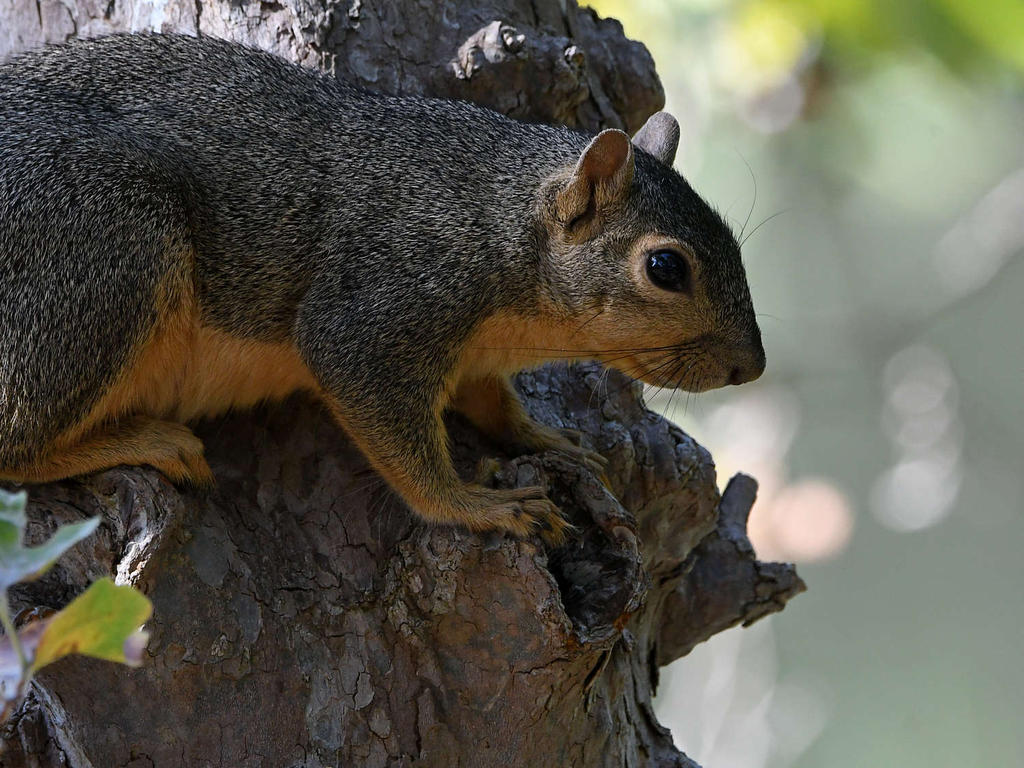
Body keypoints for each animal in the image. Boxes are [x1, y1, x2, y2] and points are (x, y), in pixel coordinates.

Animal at [0, 34, 764, 543]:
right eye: (666, 268)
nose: (750, 367)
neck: (499, 223)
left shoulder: (475, 352)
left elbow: (492, 400)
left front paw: (546, 437)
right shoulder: (381, 305)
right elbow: (389, 424)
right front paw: (476, 506)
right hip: (105, 249)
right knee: (17, 446)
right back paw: (146, 442)